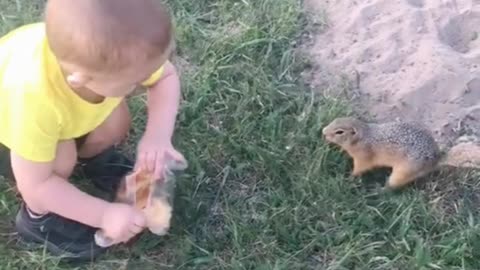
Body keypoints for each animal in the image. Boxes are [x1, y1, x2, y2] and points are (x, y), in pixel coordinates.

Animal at [320, 116, 480, 190]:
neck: (365, 135)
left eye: (339, 132)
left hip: (403, 172)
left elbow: (360, 169)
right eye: (335, 120)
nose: (323, 132)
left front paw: (349, 177)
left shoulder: (363, 157)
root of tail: (436, 159)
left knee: (393, 186)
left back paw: (379, 190)